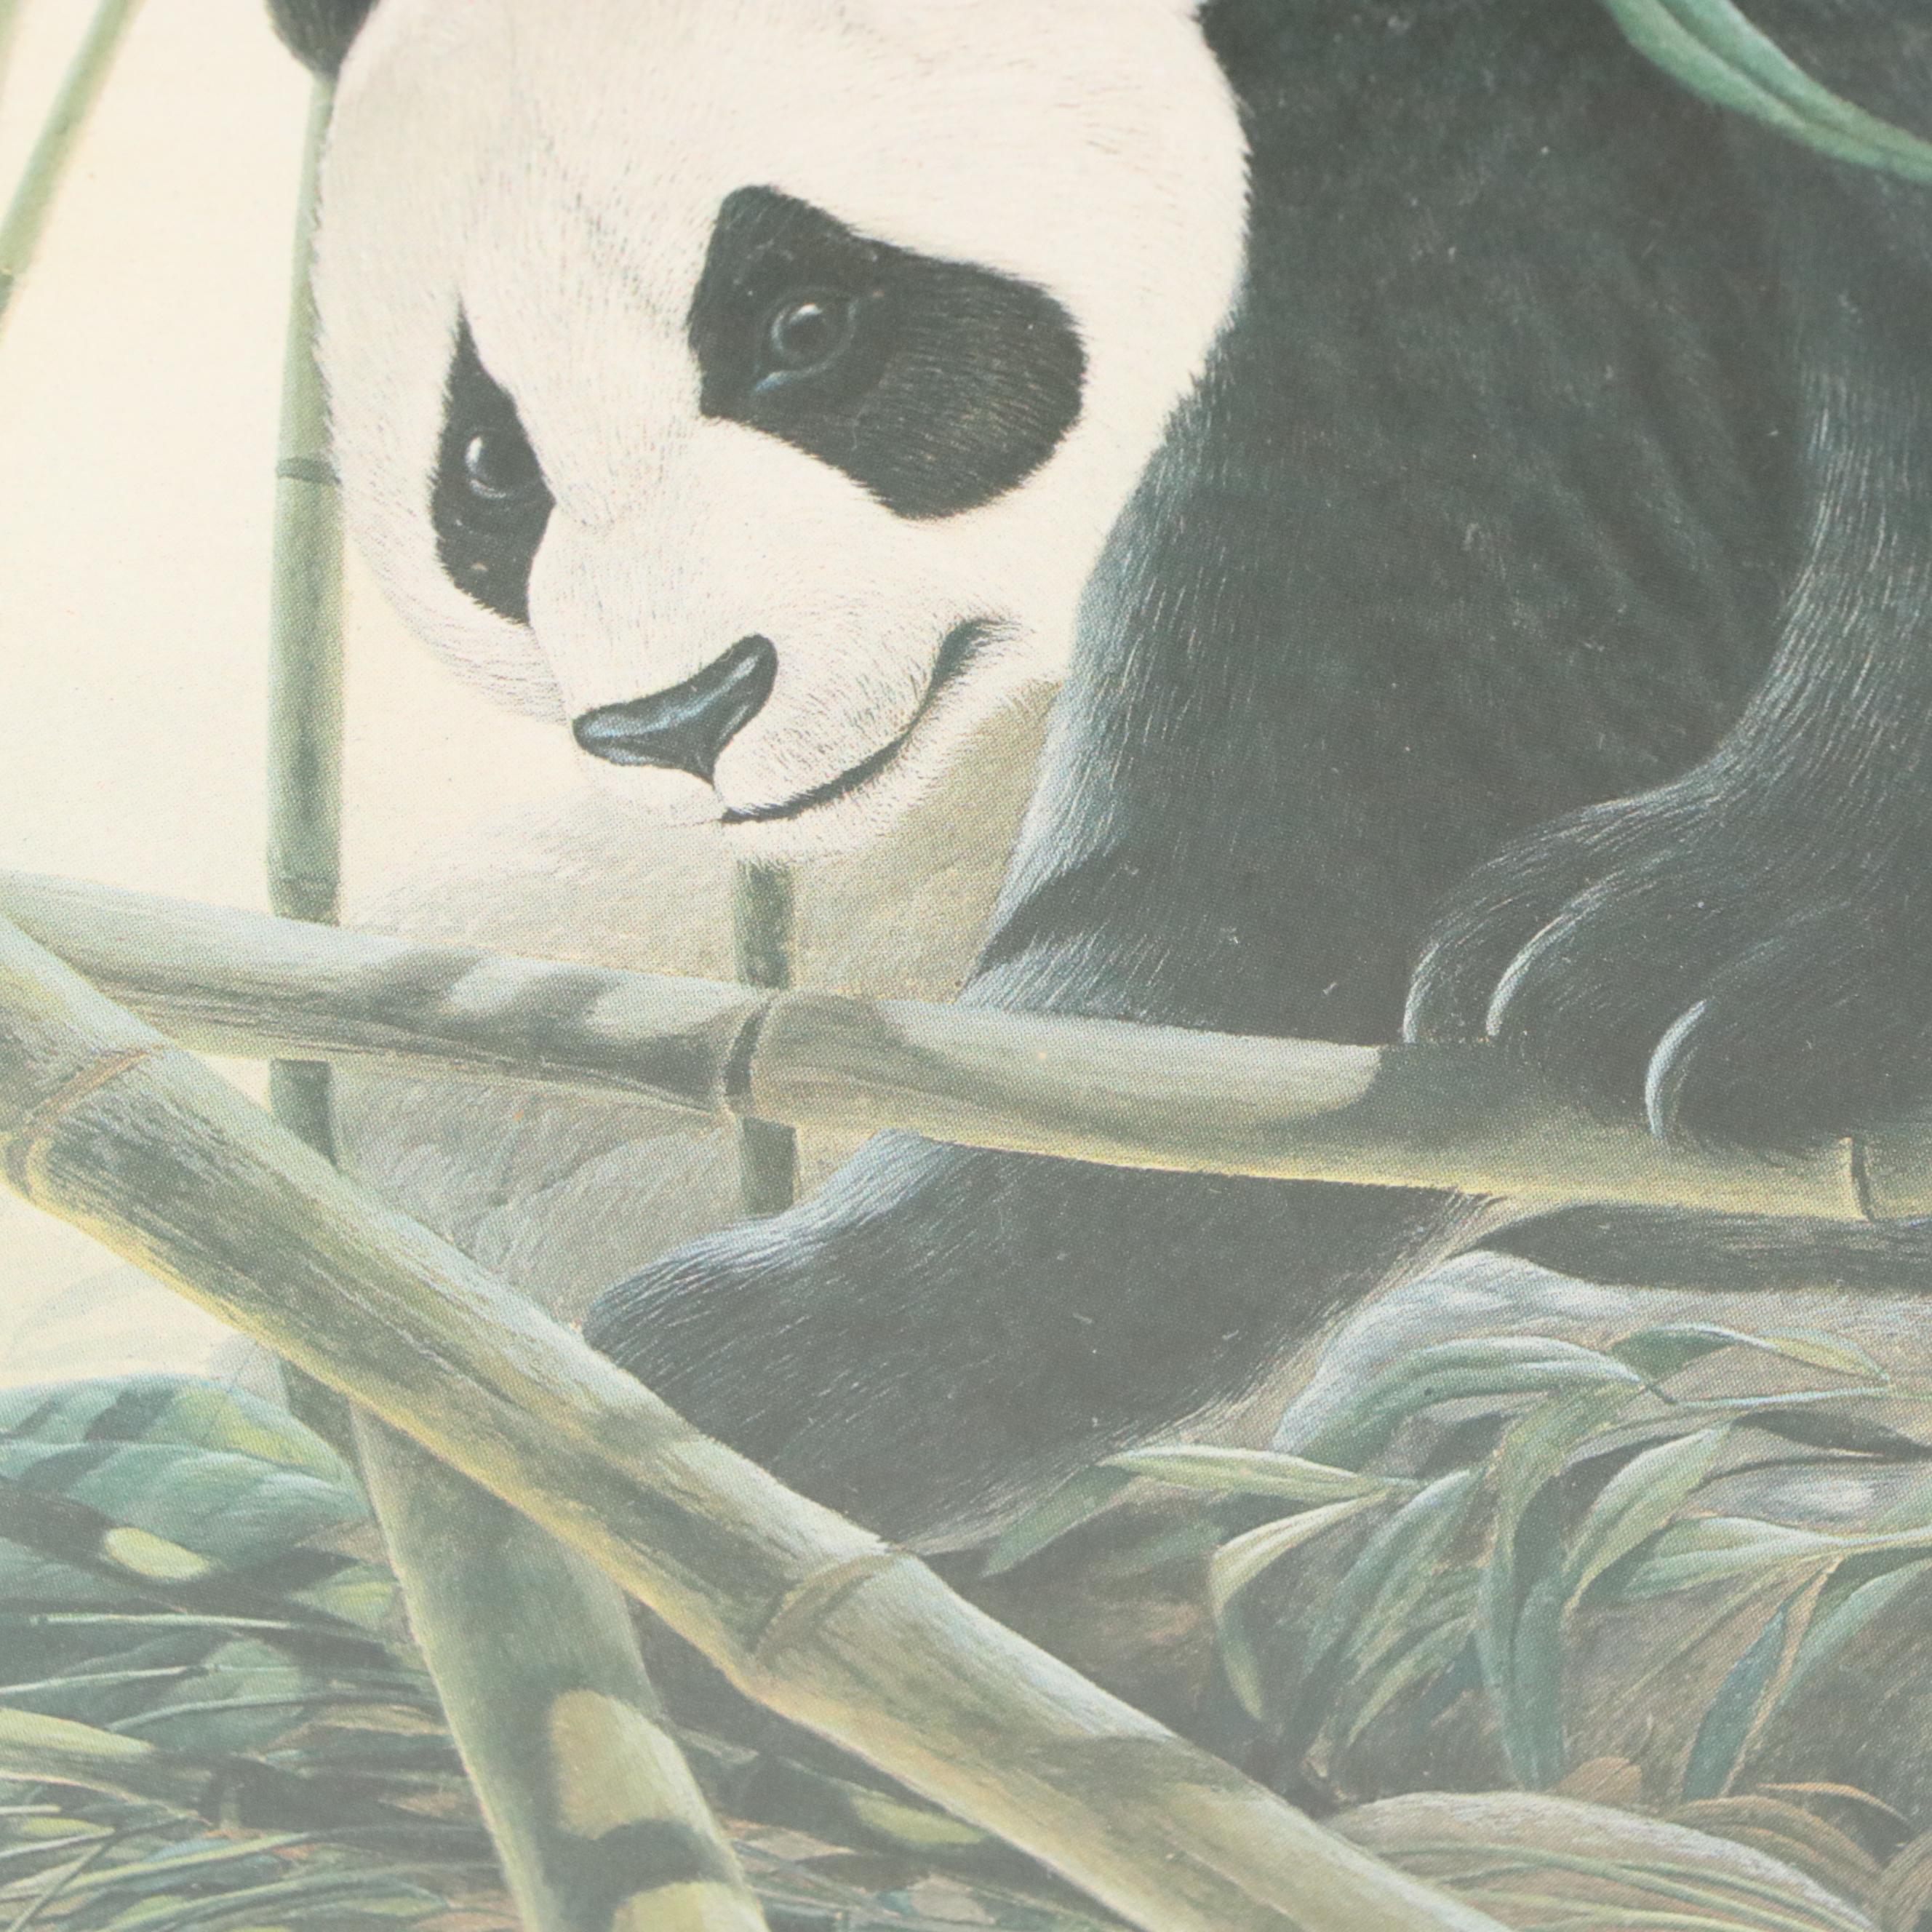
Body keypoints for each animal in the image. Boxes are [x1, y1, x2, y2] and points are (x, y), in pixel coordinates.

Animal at [270, 0, 1932, 1551]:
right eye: (489, 465)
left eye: (806, 324)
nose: (683, 713)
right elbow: (1398, 637)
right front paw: (830, 1341)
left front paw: (1698, 945)